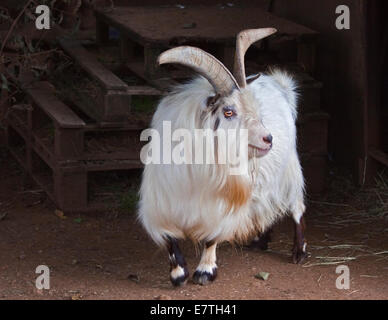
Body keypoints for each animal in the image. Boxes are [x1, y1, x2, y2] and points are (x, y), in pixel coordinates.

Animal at [139, 28, 306, 286]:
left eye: (255, 108)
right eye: (228, 112)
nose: (268, 138)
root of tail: (280, 85)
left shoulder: (222, 202)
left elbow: (211, 237)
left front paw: (205, 272)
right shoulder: (159, 203)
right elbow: (168, 238)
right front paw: (178, 274)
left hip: (290, 169)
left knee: (297, 205)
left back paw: (299, 252)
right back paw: (260, 241)